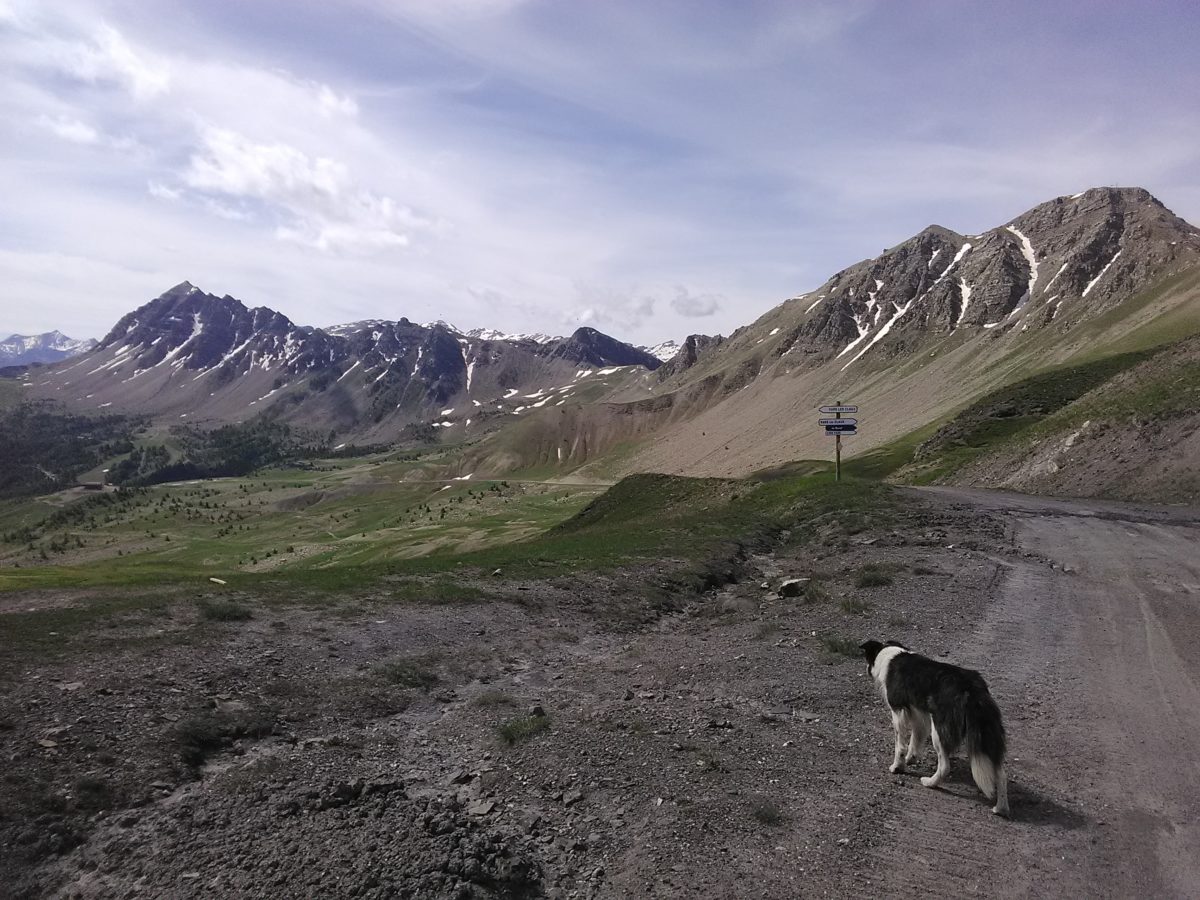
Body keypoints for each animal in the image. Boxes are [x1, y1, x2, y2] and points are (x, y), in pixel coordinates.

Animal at [859, 643, 1008, 816]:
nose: (866, 668)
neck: (890, 655)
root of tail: (972, 689)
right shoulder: (919, 715)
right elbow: (915, 740)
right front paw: (910, 759)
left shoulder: (898, 712)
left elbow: (900, 746)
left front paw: (897, 767)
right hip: (987, 733)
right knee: (1001, 774)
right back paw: (1001, 808)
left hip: (939, 730)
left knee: (944, 767)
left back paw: (929, 782)